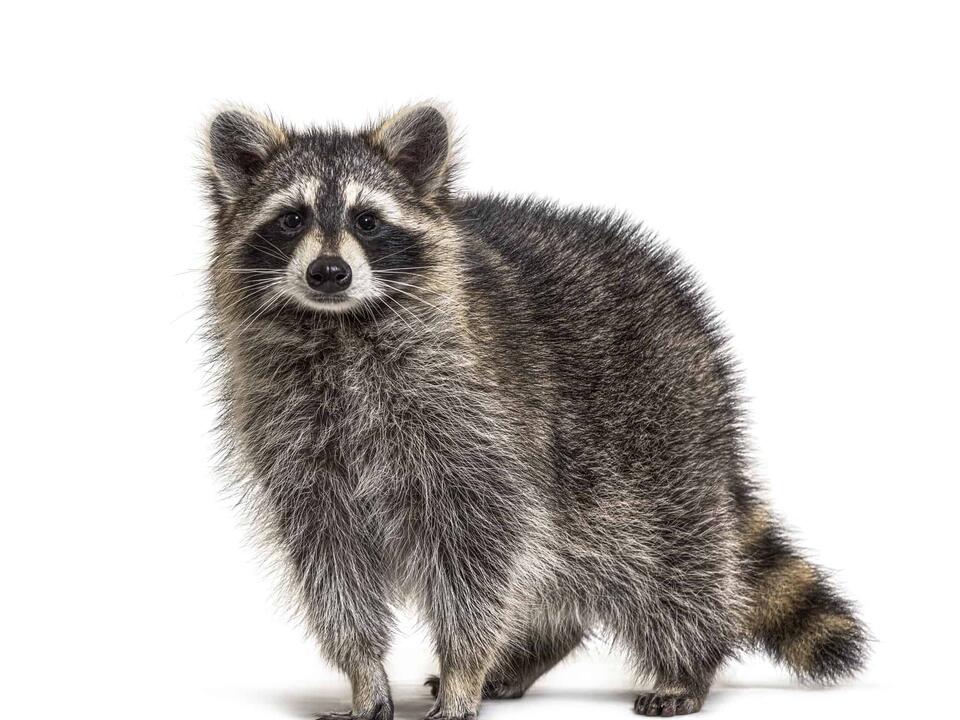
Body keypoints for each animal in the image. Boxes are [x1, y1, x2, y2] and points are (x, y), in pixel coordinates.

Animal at [200, 103, 868, 719]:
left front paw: (464, 667)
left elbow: (478, 556)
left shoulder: (475, 421)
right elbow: (333, 567)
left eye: (368, 220)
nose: (329, 272)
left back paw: (689, 661)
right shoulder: (295, 438)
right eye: (291, 219)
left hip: (659, 426)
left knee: (675, 552)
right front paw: (365, 674)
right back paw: (532, 650)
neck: (339, 327)